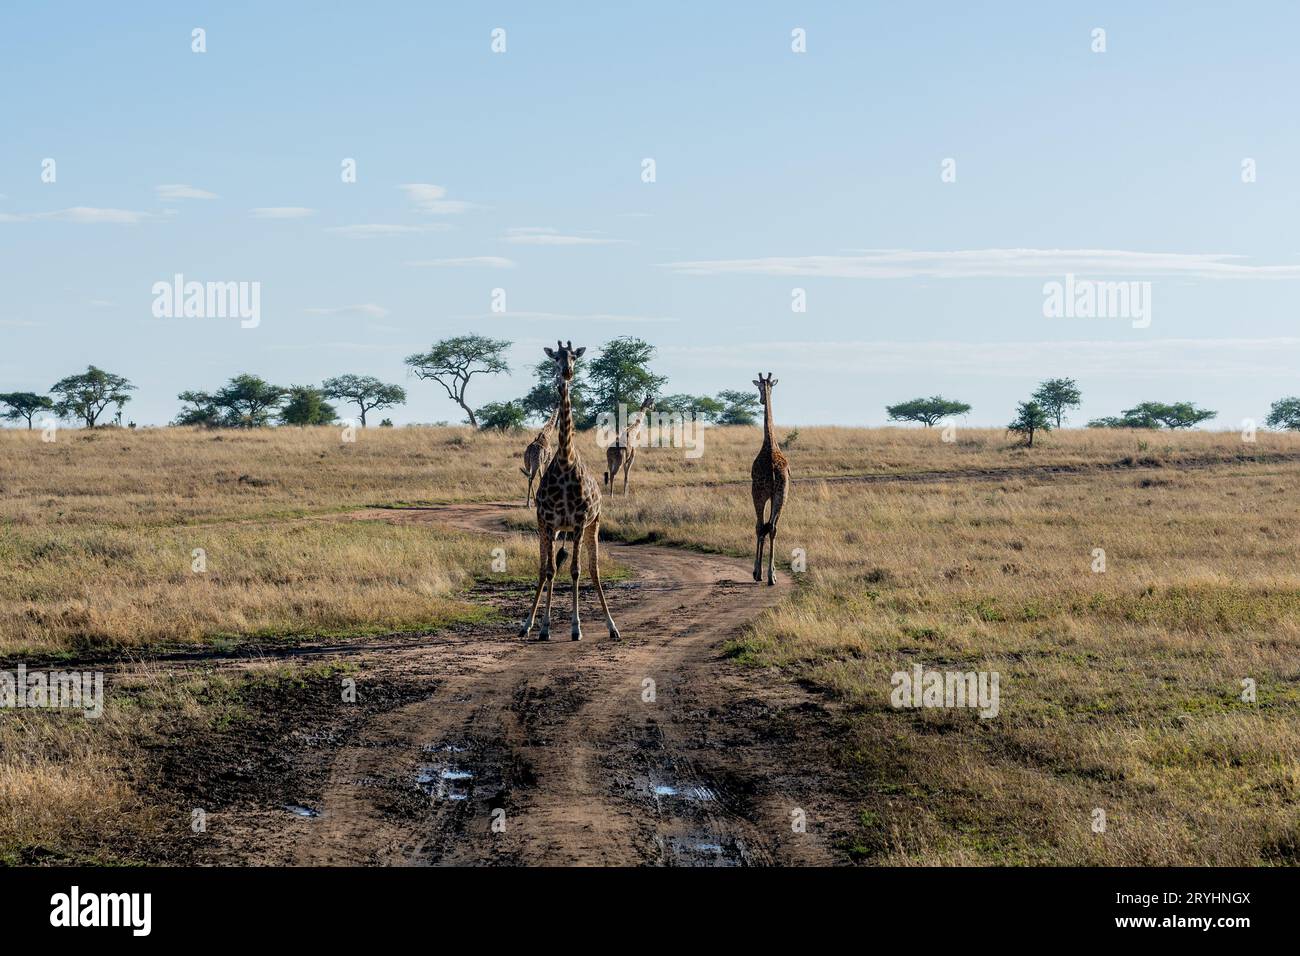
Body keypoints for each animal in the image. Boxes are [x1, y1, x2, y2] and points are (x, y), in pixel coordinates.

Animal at [520, 341, 619, 641]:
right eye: (556, 357)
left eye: (574, 356)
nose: (566, 372)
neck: (565, 460)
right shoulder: (550, 522)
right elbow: (550, 570)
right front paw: (543, 627)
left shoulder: (578, 522)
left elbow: (576, 571)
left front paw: (576, 627)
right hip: (549, 528)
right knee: (544, 569)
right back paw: (527, 625)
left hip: (593, 524)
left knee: (594, 569)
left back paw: (612, 626)